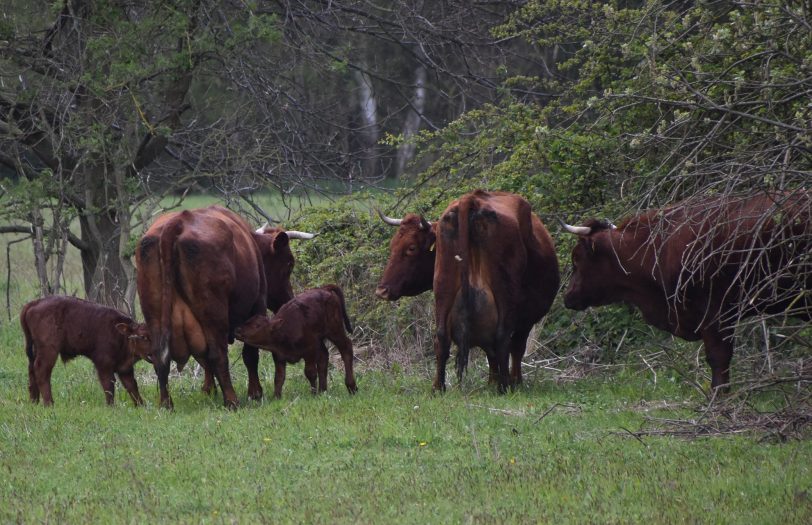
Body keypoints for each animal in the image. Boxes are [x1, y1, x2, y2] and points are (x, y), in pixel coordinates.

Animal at [21, 294, 152, 406]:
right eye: (143, 337)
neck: (121, 335)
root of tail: (34, 303)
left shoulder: (125, 369)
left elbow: (132, 386)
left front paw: (141, 406)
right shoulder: (103, 365)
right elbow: (109, 385)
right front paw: (111, 406)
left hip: (35, 350)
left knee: (31, 370)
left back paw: (34, 401)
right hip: (49, 350)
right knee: (41, 371)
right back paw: (49, 404)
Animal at [133, 207, 310, 408]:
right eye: (289, 263)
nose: (288, 299)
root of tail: (178, 221)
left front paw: (208, 390)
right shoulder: (258, 305)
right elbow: (250, 354)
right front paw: (255, 392)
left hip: (155, 315)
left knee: (161, 358)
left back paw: (166, 404)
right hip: (214, 315)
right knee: (218, 355)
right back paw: (232, 400)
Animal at [432, 190, 560, 390]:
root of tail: (474, 198)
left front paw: (492, 381)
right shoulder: (526, 318)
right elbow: (516, 347)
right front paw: (514, 381)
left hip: (443, 287)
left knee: (442, 337)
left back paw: (439, 388)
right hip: (505, 292)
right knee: (502, 338)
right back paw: (505, 386)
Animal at [564, 191, 812, 388]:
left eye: (576, 259)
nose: (567, 297)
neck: (659, 247)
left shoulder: (715, 312)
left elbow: (719, 357)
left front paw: (719, 399)